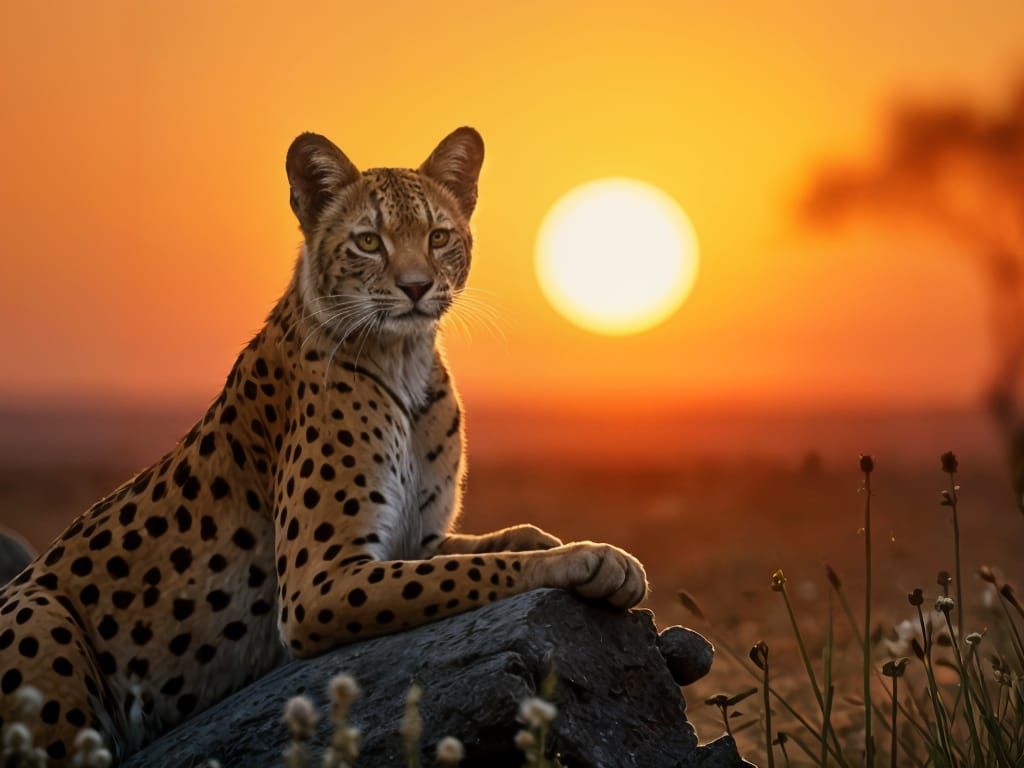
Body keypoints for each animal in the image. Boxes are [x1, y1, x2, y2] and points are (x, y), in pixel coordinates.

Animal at [0, 127, 648, 765]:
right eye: (368, 241)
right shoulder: (319, 584)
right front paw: (589, 558)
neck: (406, 358)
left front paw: (546, 538)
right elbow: (477, 569)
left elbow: (484, 546)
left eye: (438, 236)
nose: (417, 287)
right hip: (39, 610)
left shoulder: (412, 540)